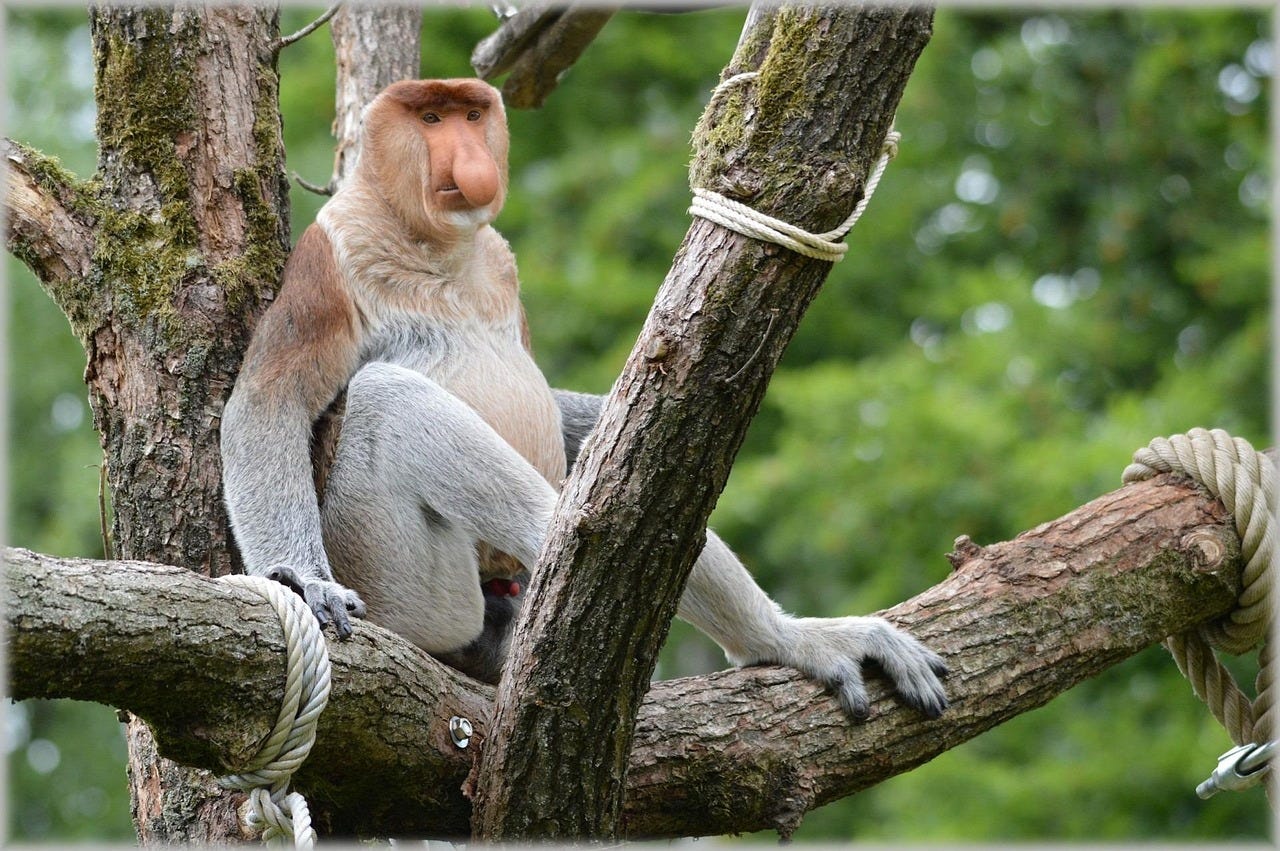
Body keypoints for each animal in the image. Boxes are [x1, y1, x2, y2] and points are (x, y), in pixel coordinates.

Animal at [220, 78, 948, 720]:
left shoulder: (501, 260)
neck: (437, 245)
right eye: (429, 119)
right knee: (389, 400)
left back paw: (780, 634)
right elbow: (267, 404)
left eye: (470, 114)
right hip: (397, 582)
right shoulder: (330, 255)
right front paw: (307, 581)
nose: (470, 155)